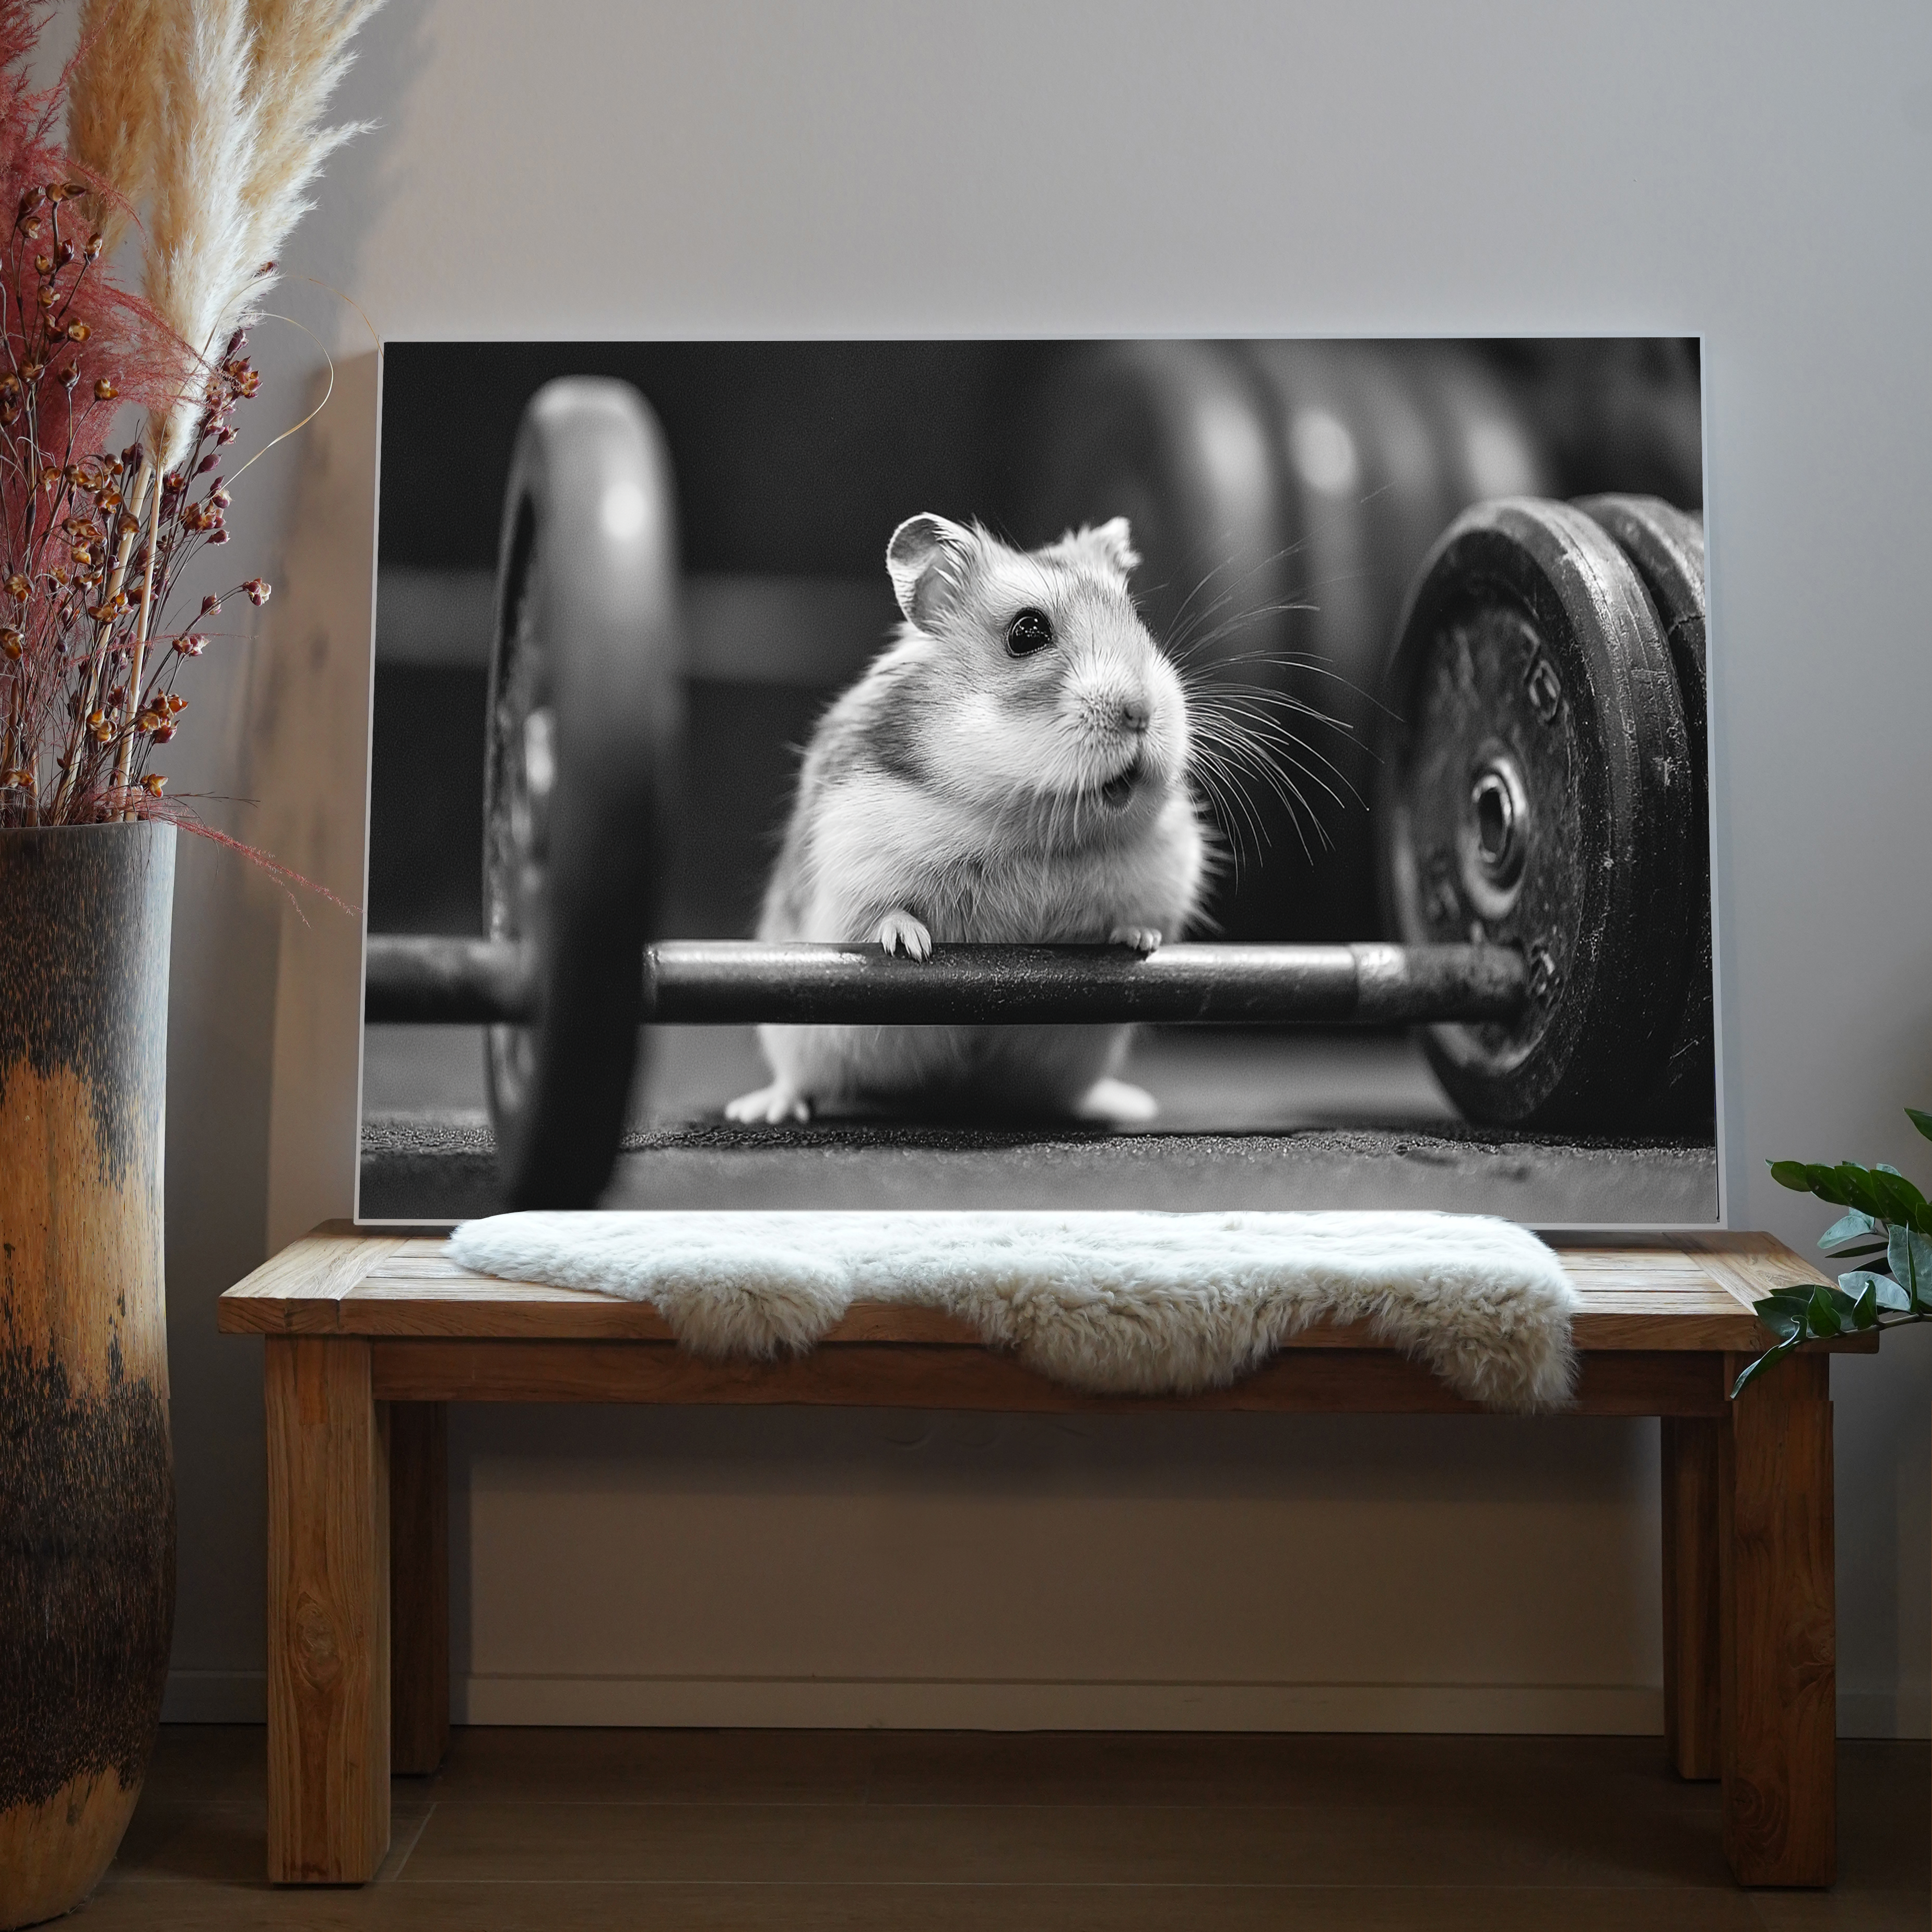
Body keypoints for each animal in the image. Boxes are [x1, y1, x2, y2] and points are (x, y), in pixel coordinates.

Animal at [725, 511, 1208, 1126]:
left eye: (1137, 622)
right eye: (1027, 632)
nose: (1143, 712)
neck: (1033, 824)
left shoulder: (1169, 867)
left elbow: (1138, 918)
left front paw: (1140, 940)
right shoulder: (849, 852)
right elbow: (881, 913)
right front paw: (912, 946)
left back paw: (1129, 1104)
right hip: (796, 1038)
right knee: (800, 1079)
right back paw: (760, 1109)